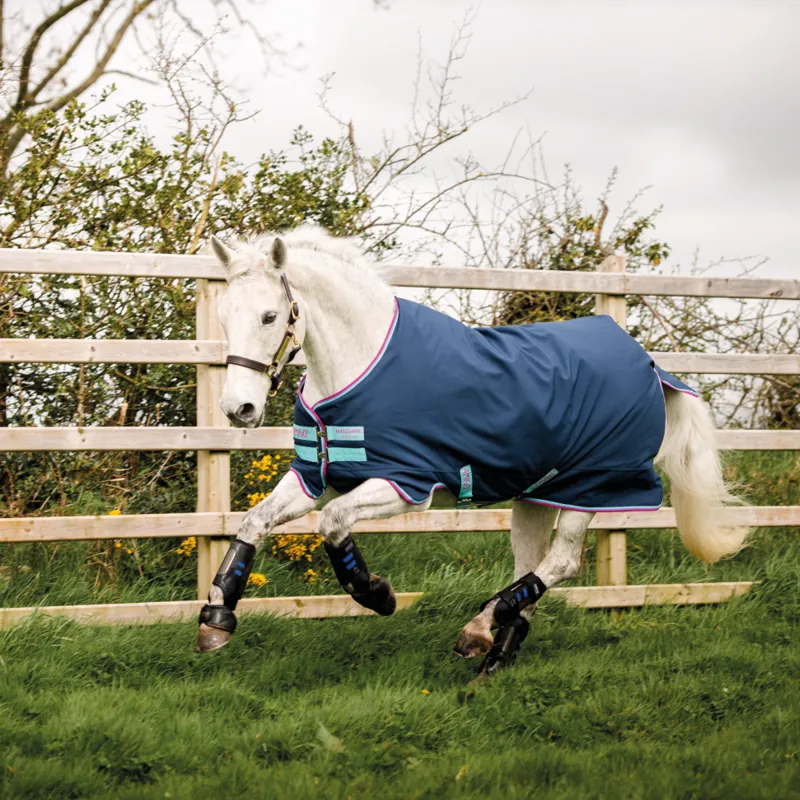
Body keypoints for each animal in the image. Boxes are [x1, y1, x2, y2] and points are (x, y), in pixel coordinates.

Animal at [196, 226, 749, 677]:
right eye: (224, 315)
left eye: (270, 316)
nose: (239, 409)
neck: (360, 365)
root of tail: (652, 367)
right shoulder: (316, 476)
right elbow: (254, 521)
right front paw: (216, 619)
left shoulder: (405, 484)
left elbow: (333, 524)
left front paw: (377, 594)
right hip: (536, 497)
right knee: (532, 566)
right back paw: (495, 652)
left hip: (593, 489)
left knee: (561, 563)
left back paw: (479, 628)